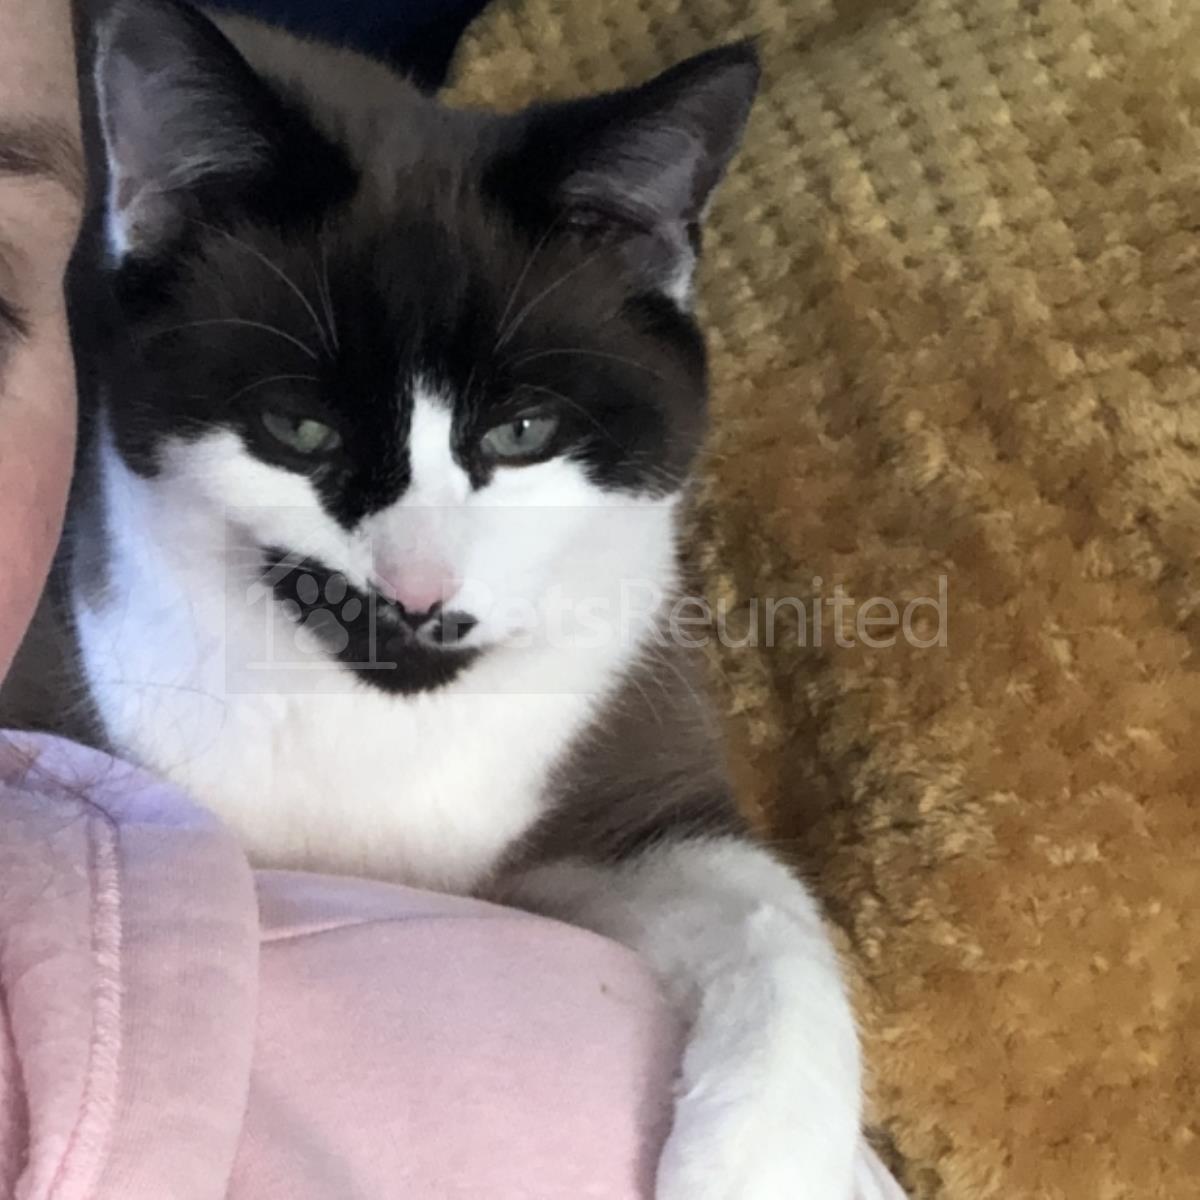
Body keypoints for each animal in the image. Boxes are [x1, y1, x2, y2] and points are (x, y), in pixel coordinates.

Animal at [62, 0, 862, 1194]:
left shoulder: (627, 761)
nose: (418, 589)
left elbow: (768, 919)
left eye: (521, 432)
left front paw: (767, 1165)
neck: (384, 725)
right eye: (299, 430)